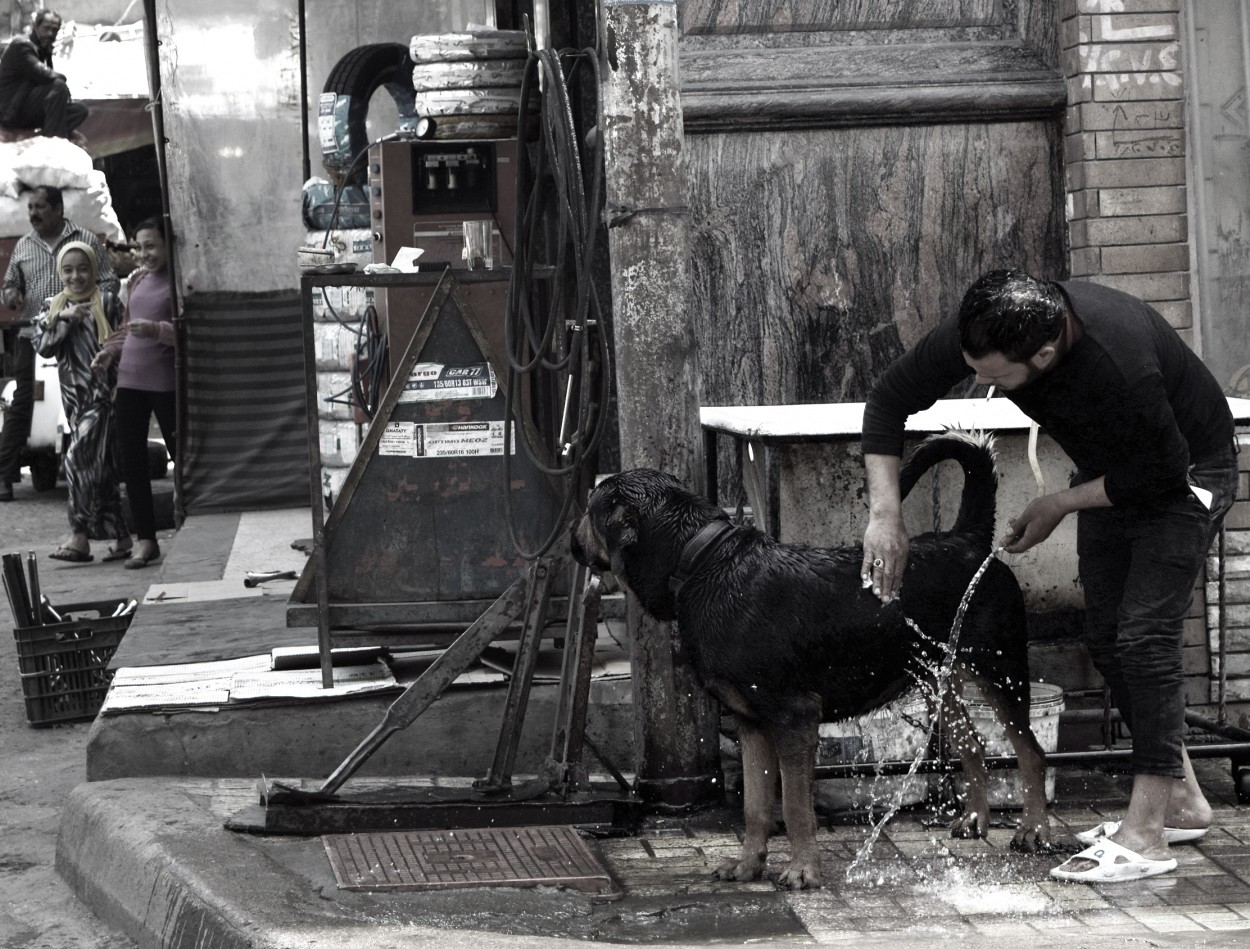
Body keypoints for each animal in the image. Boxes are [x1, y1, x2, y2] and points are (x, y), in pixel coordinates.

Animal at [572, 430, 1050, 890]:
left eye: (590, 510)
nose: (569, 540)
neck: (701, 562)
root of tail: (969, 539)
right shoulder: (750, 722)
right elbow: (756, 808)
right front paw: (748, 865)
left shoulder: (794, 717)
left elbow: (796, 809)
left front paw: (803, 872)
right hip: (938, 679)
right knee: (973, 744)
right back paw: (975, 819)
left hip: (1001, 670)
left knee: (1031, 752)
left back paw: (1034, 831)